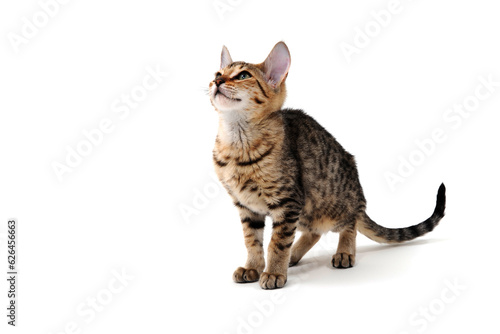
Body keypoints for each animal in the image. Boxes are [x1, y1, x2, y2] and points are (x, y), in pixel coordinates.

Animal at [207, 41, 446, 290]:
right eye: (217, 73)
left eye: (243, 75)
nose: (217, 81)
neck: (237, 143)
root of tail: (359, 199)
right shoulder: (247, 207)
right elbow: (252, 241)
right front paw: (253, 267)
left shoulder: (287, 202)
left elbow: (277, 242)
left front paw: (273, 272)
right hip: (307, 210)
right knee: (315, 233)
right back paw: (294, 255)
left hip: (328, 203)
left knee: (350, 224)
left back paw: (343, 252)